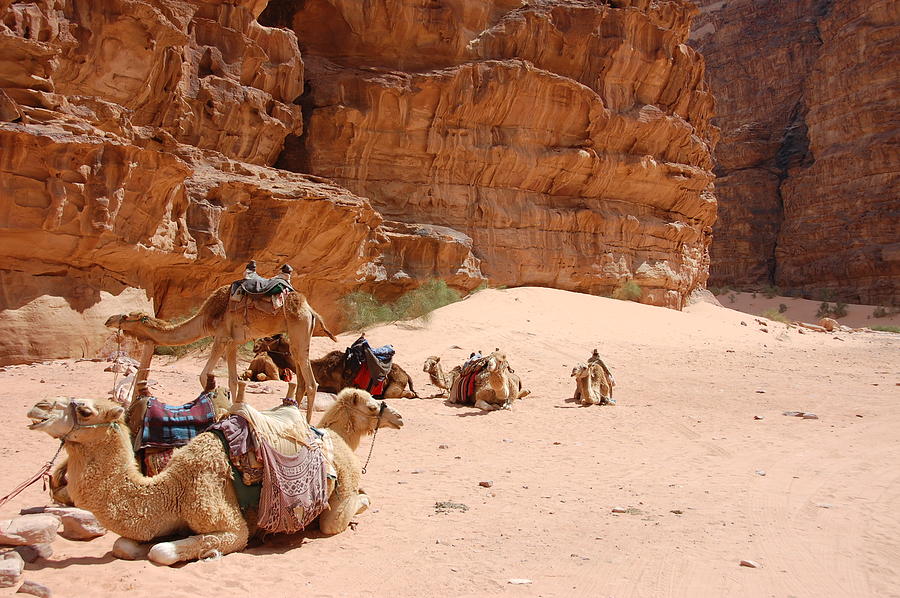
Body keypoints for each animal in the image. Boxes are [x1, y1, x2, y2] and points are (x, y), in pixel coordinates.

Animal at [27, 390, 400, 568]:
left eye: (85, 410)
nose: (37, 408)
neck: (172, 488)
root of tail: (332, 438)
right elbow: (124, 544)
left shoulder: (228, 525)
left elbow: (162, 551)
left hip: (339, 493)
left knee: (336, 519)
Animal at [105, 284, 336, 422]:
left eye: (126, 316)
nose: (109, 320)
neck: (205, 319)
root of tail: (311, 311)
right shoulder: (233, 342)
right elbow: (233, 381)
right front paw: (233, 411)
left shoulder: (221, 337)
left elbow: (203, 375)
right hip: (298, 338)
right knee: (302, 380)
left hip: (299, 330)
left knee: (312, 383)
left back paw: (309, 425)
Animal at [250, 336, 418, 400]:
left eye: (267, 338)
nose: (255, 346)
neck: (320, 368)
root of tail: (406, 374)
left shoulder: (337, 386)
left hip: (396, 383)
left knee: (398, 394)